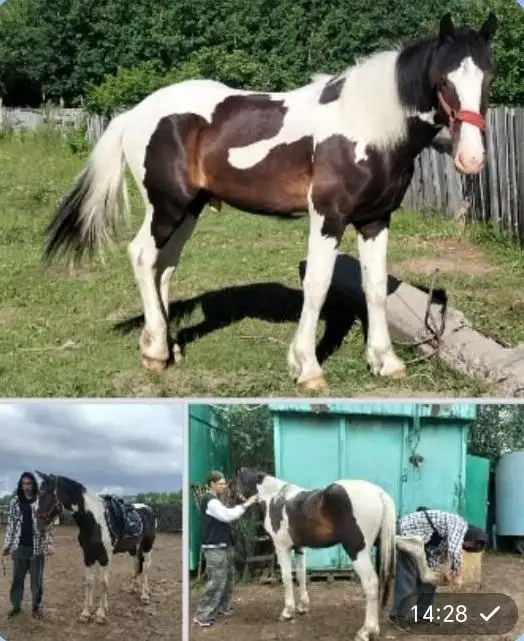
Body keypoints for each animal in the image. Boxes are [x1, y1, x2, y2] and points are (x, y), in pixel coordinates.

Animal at [35, 471, 157, 624]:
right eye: (39, 494)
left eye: (48, 494)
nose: (38, 524)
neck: (94, 521)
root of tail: (148, 508)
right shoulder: (88, 556)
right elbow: (89, 582)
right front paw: (86, 613)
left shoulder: (105, 557)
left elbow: (103, 583)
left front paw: (100, 613)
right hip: (133, 548)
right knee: (136, 565)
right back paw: (132, 589)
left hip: (148, 545)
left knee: (146, 567)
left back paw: (145, 595)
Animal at [44, 13, 497, 391]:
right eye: (444, 80)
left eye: (488, 78)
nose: (471, 159)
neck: (365, 126)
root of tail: (136, 112)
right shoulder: (328, 217)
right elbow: (317, 284)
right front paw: (307, 367)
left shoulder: (375, 220)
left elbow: (375, 288)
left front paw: (385, 362)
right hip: (166, 207)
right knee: (141, 255)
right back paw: (155, 352)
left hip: (188, 210)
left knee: (164, 266)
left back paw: (165, 346)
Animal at [231, 467, 437, 641]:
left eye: (237, 481)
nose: (236, 498)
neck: (276, 499)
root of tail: (380, 494)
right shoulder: (300, 548)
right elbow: (300, 575)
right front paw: (303, 607)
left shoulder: (282, 547)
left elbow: (286, 578)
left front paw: (288, 611)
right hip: (385, 538)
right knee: (416, 545)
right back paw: (431, 577)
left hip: (357, 551)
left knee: (371, 584)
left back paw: (366, 631)